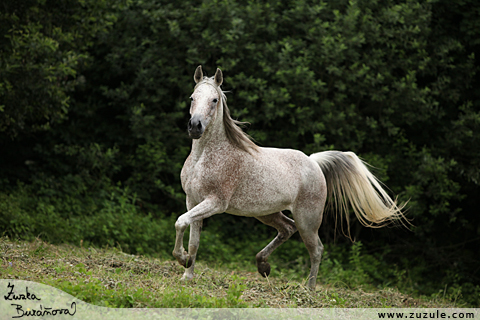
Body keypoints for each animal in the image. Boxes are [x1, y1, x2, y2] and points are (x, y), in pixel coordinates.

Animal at [172, 65, 404, 290]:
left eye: (214, 100)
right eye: (192, 97)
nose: (195, 126)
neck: (204, 157)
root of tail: (313, 161)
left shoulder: (215, 202)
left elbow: (180, 222)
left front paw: (181, 259)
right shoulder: (193, 200)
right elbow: (193, 239)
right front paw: (187, 274)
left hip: (307, 219)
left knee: (316, 249)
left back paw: (308, 289)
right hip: (266, 212)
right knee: (287, 228)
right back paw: (263, 266)